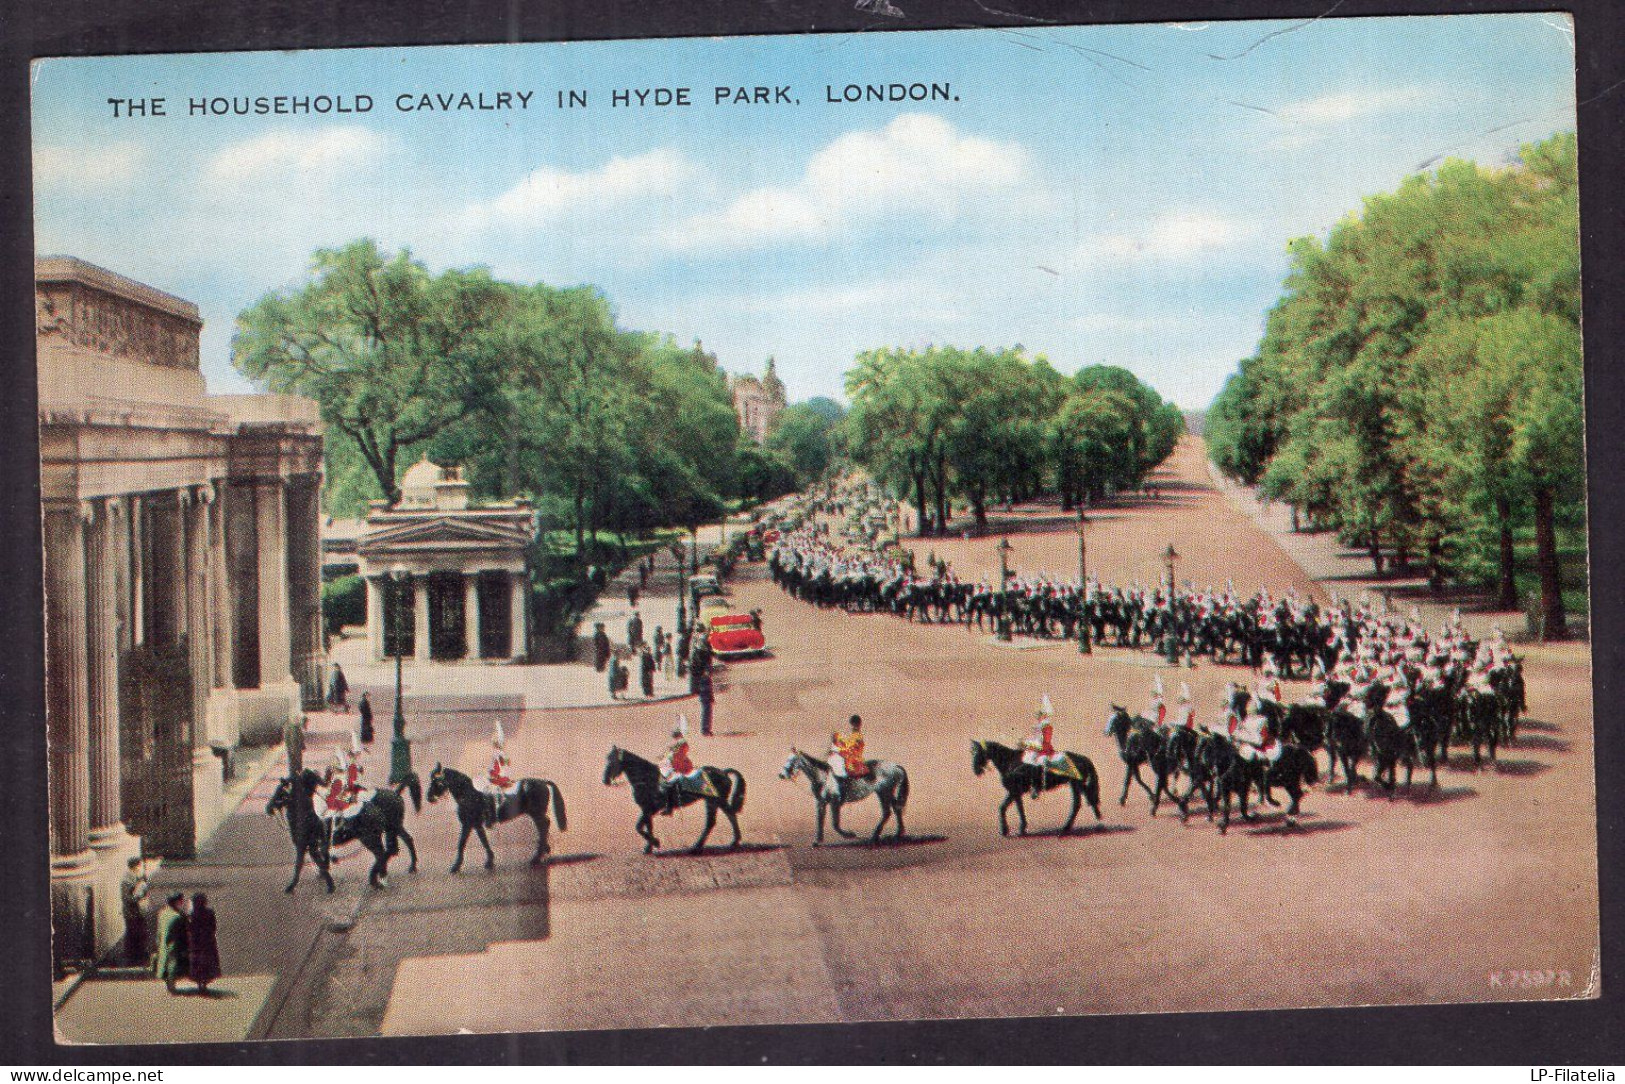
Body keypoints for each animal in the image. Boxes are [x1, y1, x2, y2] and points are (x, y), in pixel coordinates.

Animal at [266, 767, 422, 897]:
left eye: (280, 792)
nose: (268, 808)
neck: (307, 816)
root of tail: (395, 794)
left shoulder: (305, 846)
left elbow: (301, 866)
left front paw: (294, 887)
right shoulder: (312, 847)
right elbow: (318, 863)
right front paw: (325, 880)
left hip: (372, 837)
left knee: (384, 853)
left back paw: (377, 879)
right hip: (391, 829)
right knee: (399, 845)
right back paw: (404, 869)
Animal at [425, 763, 572, 871]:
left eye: (436, 781)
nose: (429, 797)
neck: (469, 796)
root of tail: (542, 781)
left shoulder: (469, 824)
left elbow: (463, 843)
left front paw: (457, 866)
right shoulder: (474, 825)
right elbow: (480, 841)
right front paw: (488, 860)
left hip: (536, 813)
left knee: (544, 826)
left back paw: (536, 857)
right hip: (535, 814)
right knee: (544, 827)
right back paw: (544, 849)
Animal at [601, 747, 744, 858]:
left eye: (612, 761)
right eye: (607, 759)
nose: (605, 780)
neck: (648, 779)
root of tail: (723, 772)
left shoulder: (649, 809)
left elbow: (639, 827)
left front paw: (655, 843)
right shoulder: (646, 810)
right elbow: (647, 827)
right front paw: (649, 848)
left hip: (714, 801)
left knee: (724, 818)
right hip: (713, 802)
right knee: (720, 819)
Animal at [780, 750, 910, 845]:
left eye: (791, 760)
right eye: (787, 758)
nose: (781, 775)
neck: (824, 778)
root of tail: (896, 766)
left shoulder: (835, 802)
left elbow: (835, 824)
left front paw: (849, 835)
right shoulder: (821, 802)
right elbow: (820, 820)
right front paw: (817, 841)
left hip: (885, 792)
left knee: (888, 812)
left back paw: (876, 836)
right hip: (885, 793)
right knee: (896, 809)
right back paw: (895, 834)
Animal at [962, 737, 1105, 838]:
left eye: (978, 752)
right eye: (971, 752)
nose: (976, 770)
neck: (1011, 762)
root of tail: (1082, 758)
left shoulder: (1014, 791)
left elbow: (1003, 807)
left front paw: (1005, 830)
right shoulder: (1016, 792)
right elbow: (1018, 808)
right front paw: (1021, 828)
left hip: (1077, 784)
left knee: (1081, 802)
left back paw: (1070, 826)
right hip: (1075, 785)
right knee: (1081, 801)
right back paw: (1070, 826)